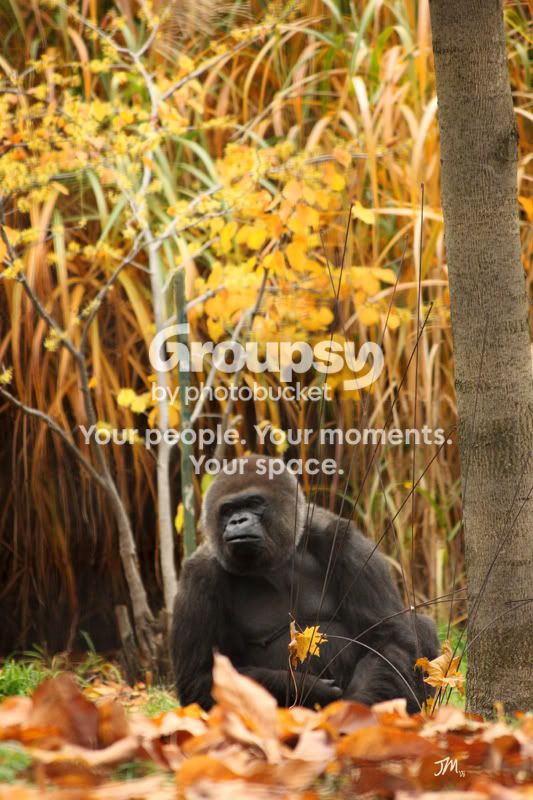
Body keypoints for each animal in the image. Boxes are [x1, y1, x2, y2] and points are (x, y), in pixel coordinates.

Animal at [171, 455, 440, 711]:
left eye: (254, 503)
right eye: (227, 510)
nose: (237, 521)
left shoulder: (344, 541)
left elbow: (387, 639)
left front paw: (352, 713)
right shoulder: (199, 576)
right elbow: (200, 679)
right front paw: (307, 687)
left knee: (418, 626)